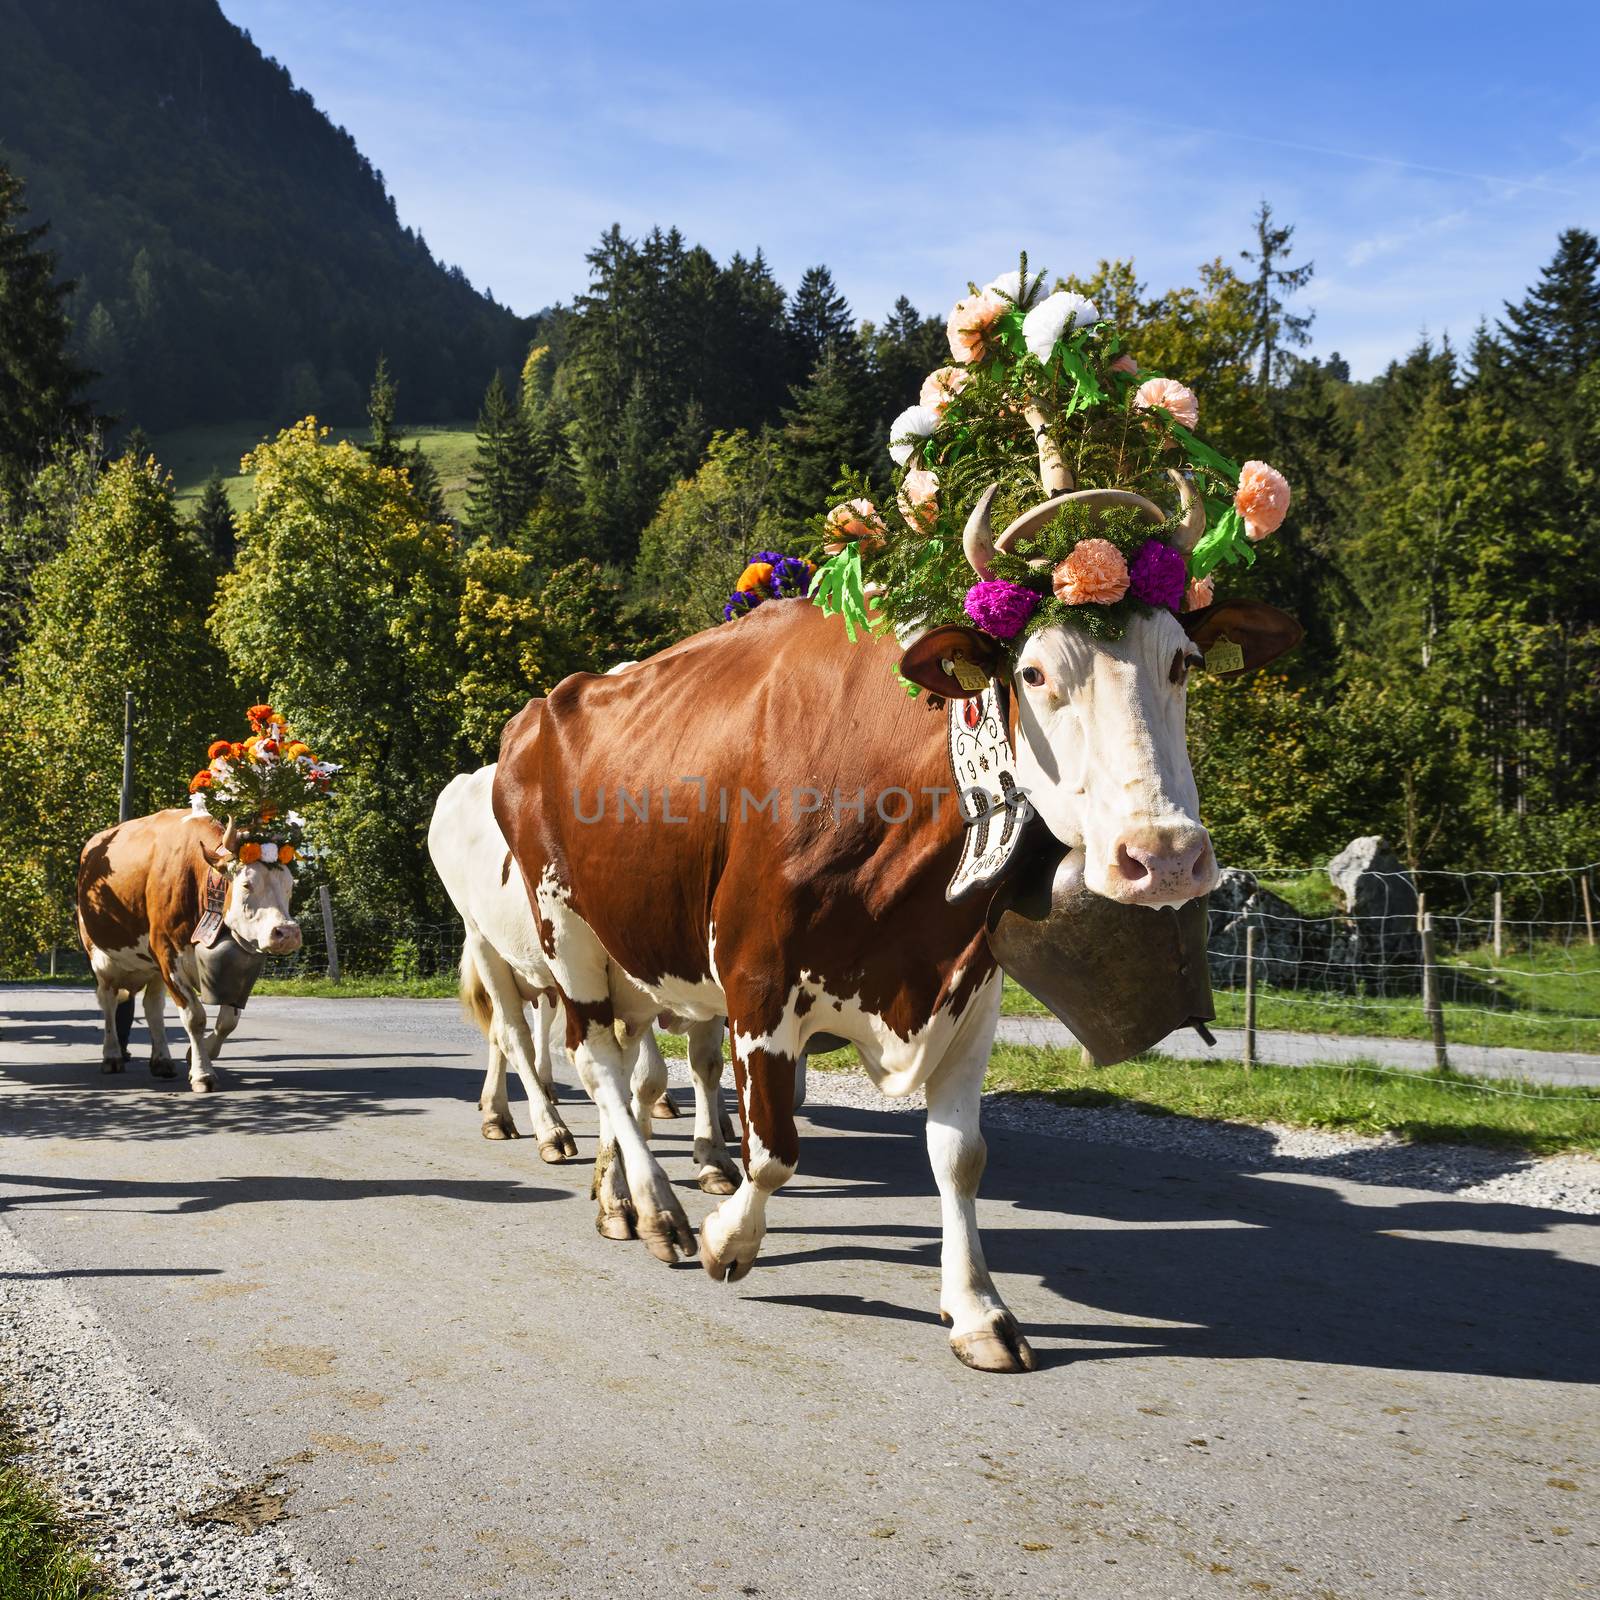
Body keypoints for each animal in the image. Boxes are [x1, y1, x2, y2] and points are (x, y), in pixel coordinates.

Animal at [77, 812, 302, 1088]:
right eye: (247, 884)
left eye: (290, 885)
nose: (287, 933)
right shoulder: (167, 954)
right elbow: (195, 1017)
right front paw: (202, 1072)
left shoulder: (233, 972)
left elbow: (228, 1021)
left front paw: (196, 1053)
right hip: (101, 958)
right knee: (108, 1001)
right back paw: (111, 1056)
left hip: (152, 967)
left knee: (153, 1007)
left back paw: (162, 1060)